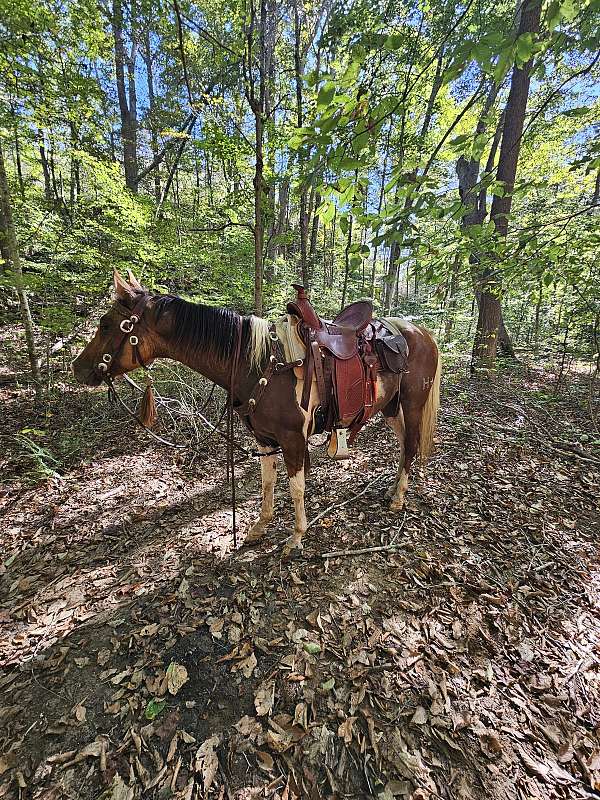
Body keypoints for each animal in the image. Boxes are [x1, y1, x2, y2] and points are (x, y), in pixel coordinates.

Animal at [72, 270, 441, 556]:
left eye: (106, 325)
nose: (77, 368)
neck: (263, 364)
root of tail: (421, 331)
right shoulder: (263, 438)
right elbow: (267, 482)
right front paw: (259, 527)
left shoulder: (293, 440)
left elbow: (295, 487)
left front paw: (296, 537)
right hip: (390, 408)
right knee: (404, 446)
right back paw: (394, 489)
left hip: (412, 403)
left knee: (410, 445)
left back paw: (398, 499)